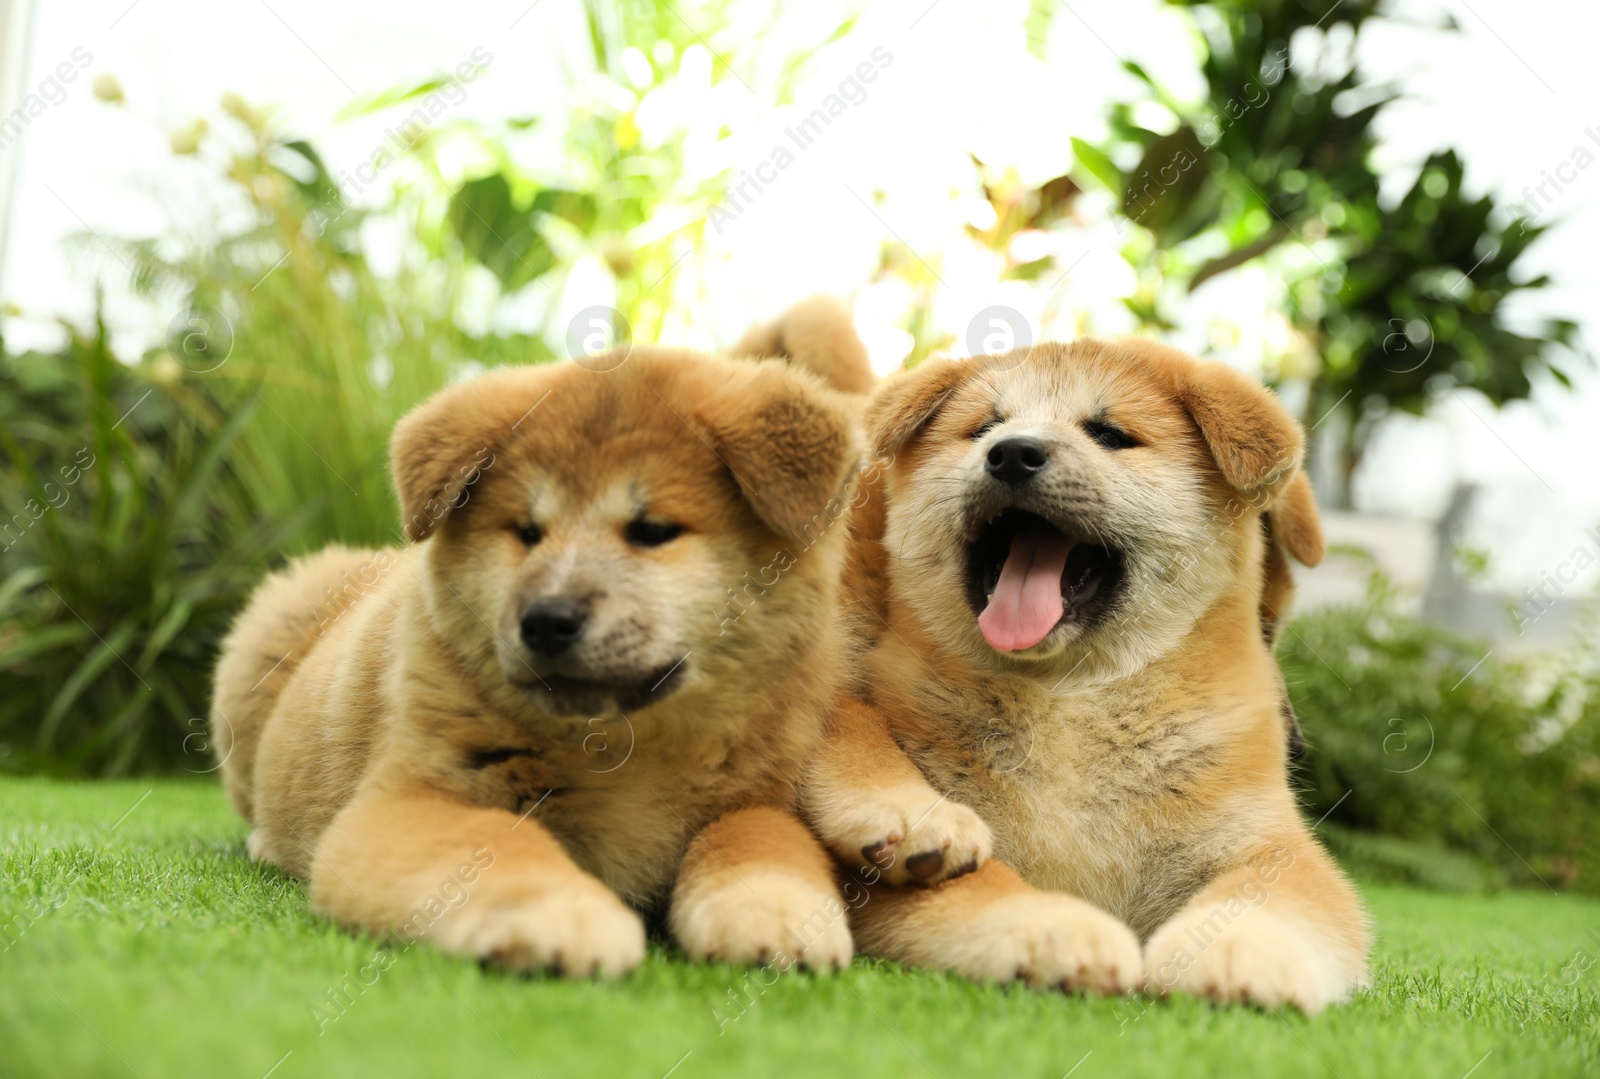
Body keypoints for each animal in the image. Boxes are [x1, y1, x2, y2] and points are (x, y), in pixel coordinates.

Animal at [214, 337, 870, 973]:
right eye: (527, 533)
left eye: (653, 530)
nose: (547, 621)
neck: (627, 749)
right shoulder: (413, 795)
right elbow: (497, 841)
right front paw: (565, 916)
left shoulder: (762, 794)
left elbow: (761, 840)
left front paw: (777, 909)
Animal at [806, 337, 1369, 1011]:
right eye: (985, 428)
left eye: (1109, 435)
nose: (1011, 453)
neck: (1068, 693)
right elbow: (985, 885)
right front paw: (1058, 930)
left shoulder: (1266, 845)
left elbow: (1267, 902)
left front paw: (1238, 955)